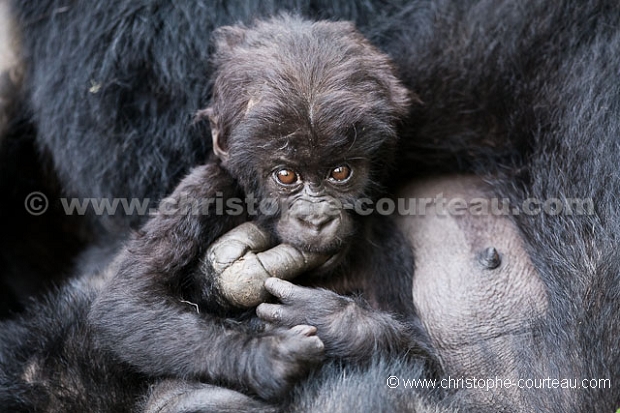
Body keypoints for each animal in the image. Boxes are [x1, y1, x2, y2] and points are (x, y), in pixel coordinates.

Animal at [89, 13, 424, 406]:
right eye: (286, 175)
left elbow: (424, 358)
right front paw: (264, 354)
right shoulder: (205, 190)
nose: (316, 219)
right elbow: (127, 304)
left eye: (340, 172)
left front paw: (333, 320)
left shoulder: (390, 241)